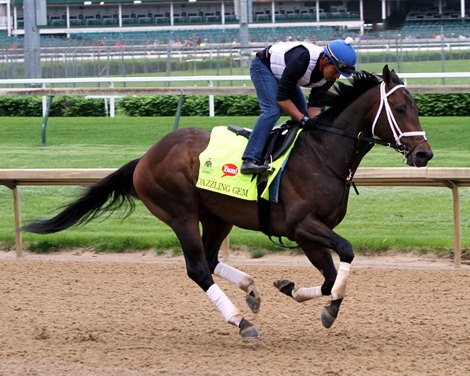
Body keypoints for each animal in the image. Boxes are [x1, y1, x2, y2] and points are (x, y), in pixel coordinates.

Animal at [22, 64, 434, 338]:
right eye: (400, 109)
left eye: (417, 106)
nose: (424, 154)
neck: (323, 152)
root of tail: (146, 157)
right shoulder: (303, 225)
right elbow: (346, 254)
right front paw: (327, 308)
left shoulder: (309, 235)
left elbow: (331, 277)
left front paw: (294, 291)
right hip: (180, 213)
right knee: (197, 269)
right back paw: (241, 320)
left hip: (218, 216)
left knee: (210, 257)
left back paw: (250, 290)